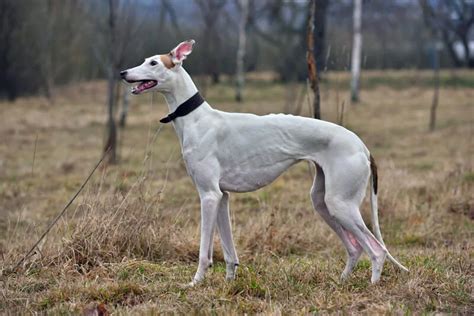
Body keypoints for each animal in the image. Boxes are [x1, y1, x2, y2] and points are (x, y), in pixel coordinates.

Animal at [121, 40, 408, 286]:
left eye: (154, 63)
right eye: (145, 60)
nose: (123, 72)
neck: (196, 119)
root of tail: (363, 146)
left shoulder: (209, 195)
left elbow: (204, 251)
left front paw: (195, 283)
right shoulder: (222, 197)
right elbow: (229, 251)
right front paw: (229, 282)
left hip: (341, 204)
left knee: (377, 250)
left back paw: (372, 283)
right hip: (323, 202)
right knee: (355, 247)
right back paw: (342, 281)